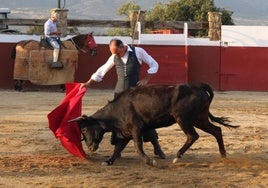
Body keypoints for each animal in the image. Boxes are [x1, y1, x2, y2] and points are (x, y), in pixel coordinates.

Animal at [69, 83, 239, 165]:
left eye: (85, 129)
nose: (91, 148)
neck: (117, 109)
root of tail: (198, 86)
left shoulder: (136, 129)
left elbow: (138, 146)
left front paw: (150, 161)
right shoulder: (126, 133)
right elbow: (118, 149)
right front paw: (108, 161)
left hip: (183, 119)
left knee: (193, 135)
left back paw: (177, 156)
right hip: (199, 119)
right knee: (216, 130)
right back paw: (223, 155)